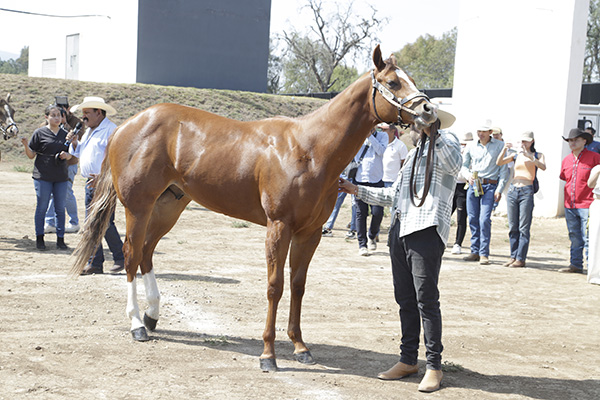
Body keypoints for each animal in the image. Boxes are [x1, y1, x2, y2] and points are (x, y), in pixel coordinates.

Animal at [71, 47, 436, 372]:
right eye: (392, 82)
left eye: (411, 79)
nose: (429, 111)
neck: (310, 149)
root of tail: (125, 126)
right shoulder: (278, 227)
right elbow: (275, 286)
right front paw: (268, 355)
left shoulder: (309, 233)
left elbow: (298, 285)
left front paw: (300, 347)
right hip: (139, 206)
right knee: (131, 254)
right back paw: (137, 324)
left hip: (168, 206)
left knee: (146, 252)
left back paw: (152, 316)